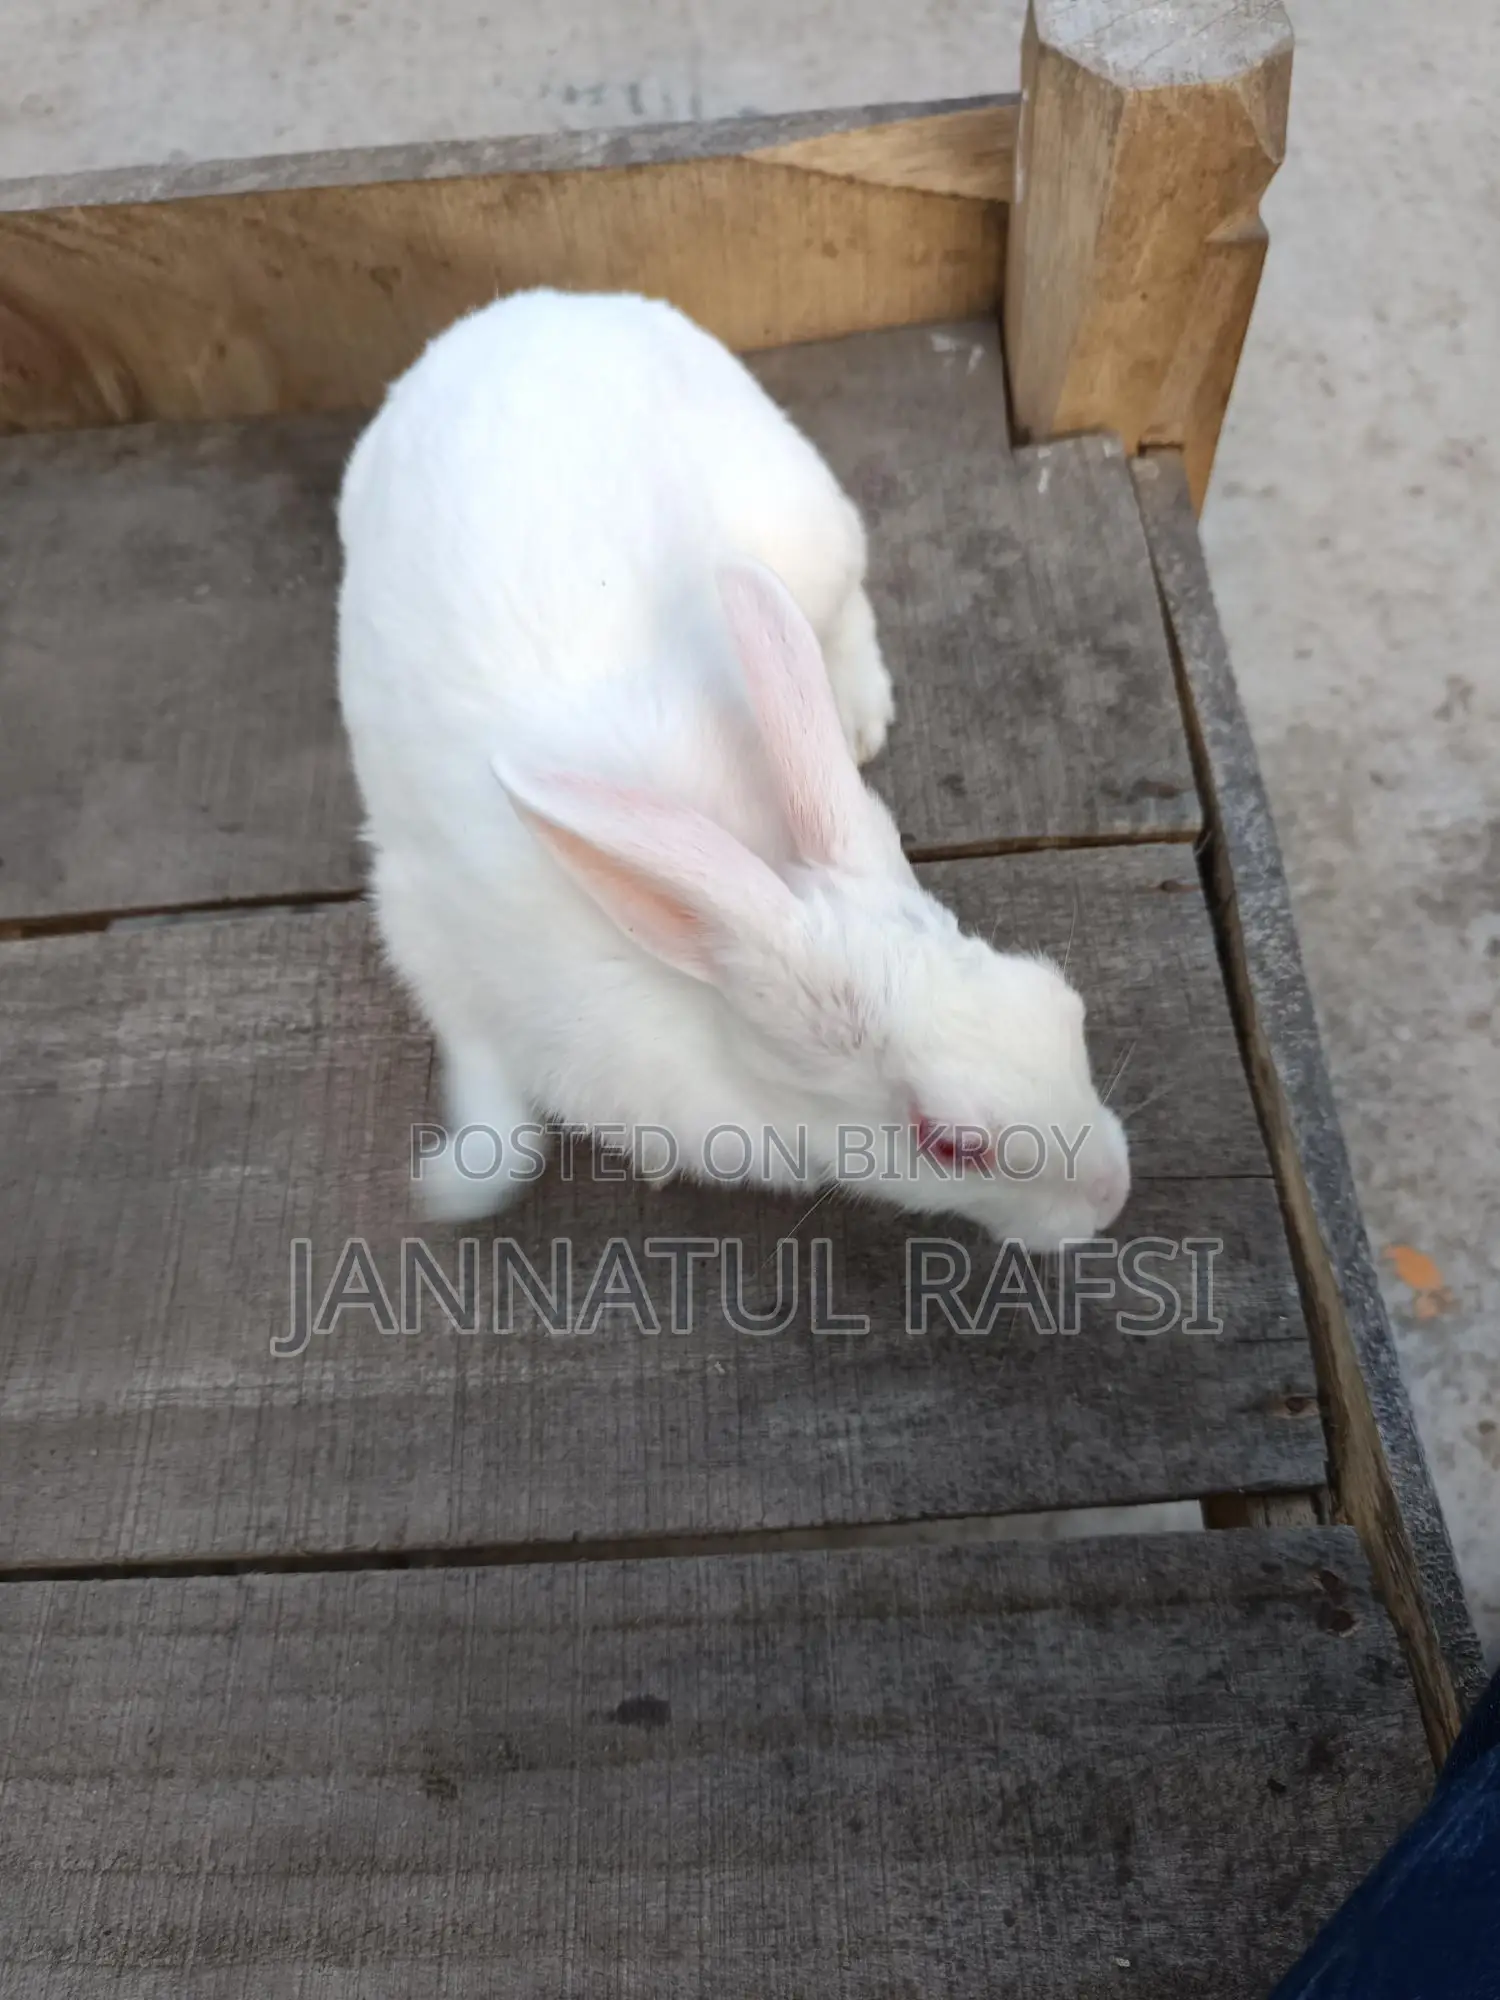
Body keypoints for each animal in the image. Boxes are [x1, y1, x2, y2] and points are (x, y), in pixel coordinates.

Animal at [336, 288, 1130, 1251]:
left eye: (1061, 1004)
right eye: (951, 1144)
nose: (1114, 1194)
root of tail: (550, 304)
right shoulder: (432, 945)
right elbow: (498, 1125)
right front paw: (453, 1186)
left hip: (809, 531)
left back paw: (857, 714)